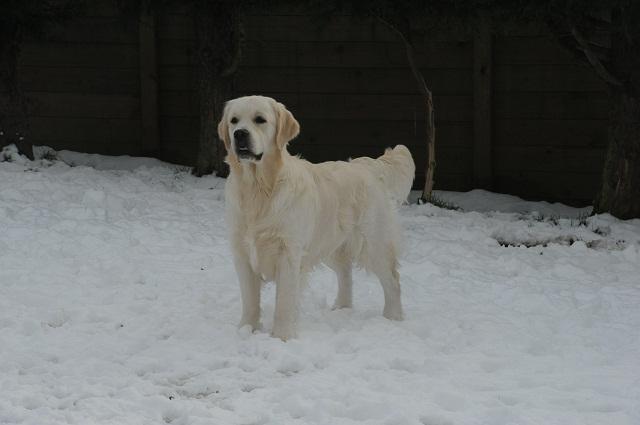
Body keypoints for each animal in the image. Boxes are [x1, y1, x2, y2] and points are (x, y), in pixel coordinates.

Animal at [218, 94, 418, 340]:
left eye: (260, 120)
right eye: (234, 121)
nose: (239, 134)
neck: (258, 190)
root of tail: (368, 165)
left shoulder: (289, 253)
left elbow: (284, 302)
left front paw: (281, 337)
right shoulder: (242, 253)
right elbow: (250, 301)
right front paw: (246, 330)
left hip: (373, 244)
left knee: (392, 280)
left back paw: (392, 318)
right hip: (329, 243)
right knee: (346, 273)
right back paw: (341, 309)